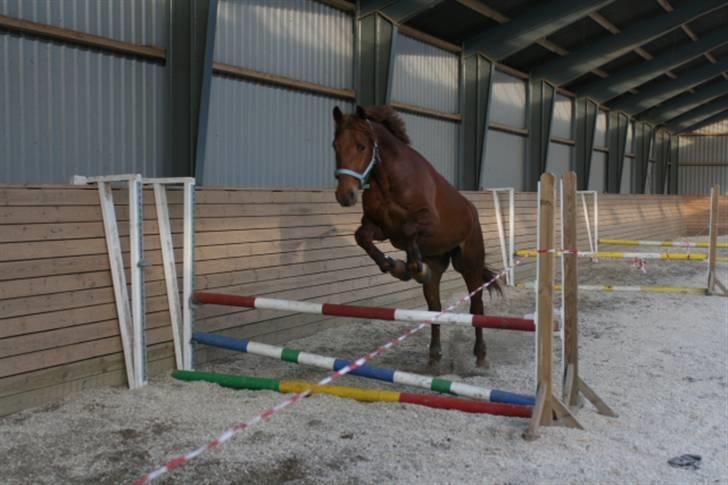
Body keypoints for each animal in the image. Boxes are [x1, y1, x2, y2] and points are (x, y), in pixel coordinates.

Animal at [332, 104, 498, 364]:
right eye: (335, 145)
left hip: (469, 264)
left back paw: (480, 354)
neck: (388, 181)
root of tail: (472, 212)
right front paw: (392, 265)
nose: (345, 195)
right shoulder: (381, 229)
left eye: (361, 146)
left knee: (476, 306)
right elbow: (362, 236)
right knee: (435, 306)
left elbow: (409, 230)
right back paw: (434, 355)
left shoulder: (426, 222)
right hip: (438, 263)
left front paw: (407, 267)